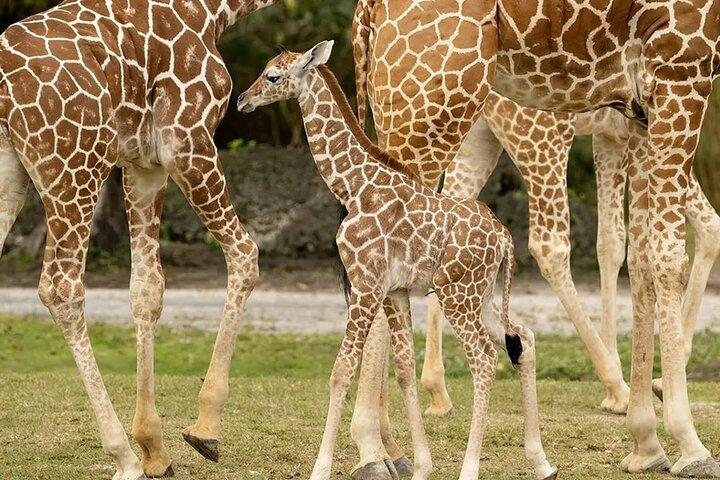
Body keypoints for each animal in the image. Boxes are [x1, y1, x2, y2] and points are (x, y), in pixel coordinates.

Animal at [0, 0, 278, 478]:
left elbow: (147, 288)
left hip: (17, 175)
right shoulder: (187, 141)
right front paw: (204, 428)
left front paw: (154, 447)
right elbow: (245, 253)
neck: (215, 12)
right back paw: (122, 455)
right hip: (75, 165)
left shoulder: (144, 164)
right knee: (61, 288)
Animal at [237, 40, 558, 480]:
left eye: (272, 76)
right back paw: (541, 461)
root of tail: (506, 239)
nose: (242, 100)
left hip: (458, 295)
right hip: (484, 294)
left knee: (485, 358)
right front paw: (421, 465)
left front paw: (320, 468)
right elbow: (404, 368)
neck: (354, 188)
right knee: (522, 338)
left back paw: (470, 469)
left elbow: (341, 370)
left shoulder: (364, 283)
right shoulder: (396, 291)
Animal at [348, 0, 720, 478]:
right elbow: (668, 251)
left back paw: (396, 439)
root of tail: (368, 8)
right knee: (537, 242)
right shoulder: (682, 64)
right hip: (464, 113)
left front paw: (645, 441)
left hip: (438, 120)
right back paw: (372, 450)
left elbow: (633, 256)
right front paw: (687, 441)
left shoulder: (634, 117)